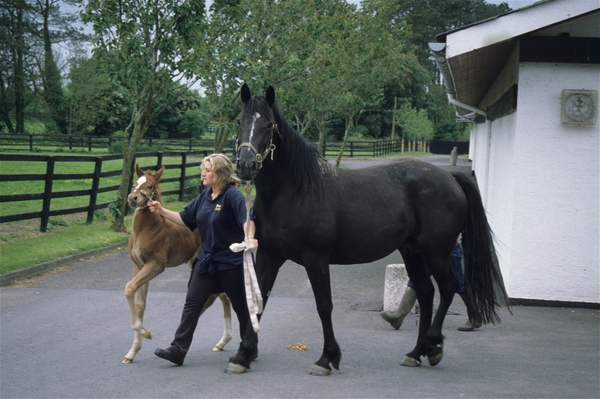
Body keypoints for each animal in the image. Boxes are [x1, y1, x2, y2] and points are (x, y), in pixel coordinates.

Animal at [234, 83, 510, 376]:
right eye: (240, 121)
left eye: (268, 125)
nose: (246, 165)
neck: (295, 192)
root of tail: (451, 179)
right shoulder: (269, 256)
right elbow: (257, 300)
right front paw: (243, 355)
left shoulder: (316, 259)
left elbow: (324, 306)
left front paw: (326, 358)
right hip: (412, 251)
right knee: (426, 292)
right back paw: (416, 352)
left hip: (435, 252)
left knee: (448, 287)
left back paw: (434, 345)